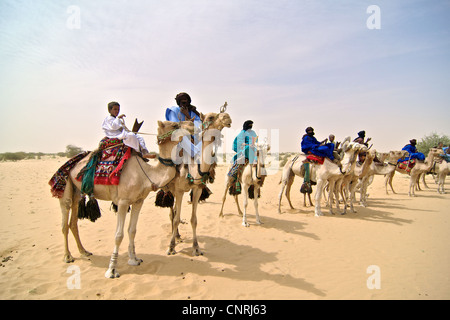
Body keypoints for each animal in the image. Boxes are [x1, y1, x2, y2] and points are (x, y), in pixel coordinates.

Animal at [51, 120, 195, 278]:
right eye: (175, 125)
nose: (192, 124)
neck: (146, 174)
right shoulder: (123, 202)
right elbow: (118, 235)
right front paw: (112, 269)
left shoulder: (138, 201)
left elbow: (132, 230)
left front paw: (134, 259)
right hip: (65, 189)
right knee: (64, 223)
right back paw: (68, 256)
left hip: (76, 193)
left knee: (73, 223)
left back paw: (84, 251)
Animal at [163, 109, 232, 256]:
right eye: (210, 117)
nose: (227, 117)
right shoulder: (179, 190)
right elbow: (176, 219)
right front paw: (171, 247)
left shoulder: (197, 189)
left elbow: (193, 219)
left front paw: (196, 247)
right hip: (171, 190)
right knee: (172, 213)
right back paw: (175, 237)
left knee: (175, 211)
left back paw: (177, 235)